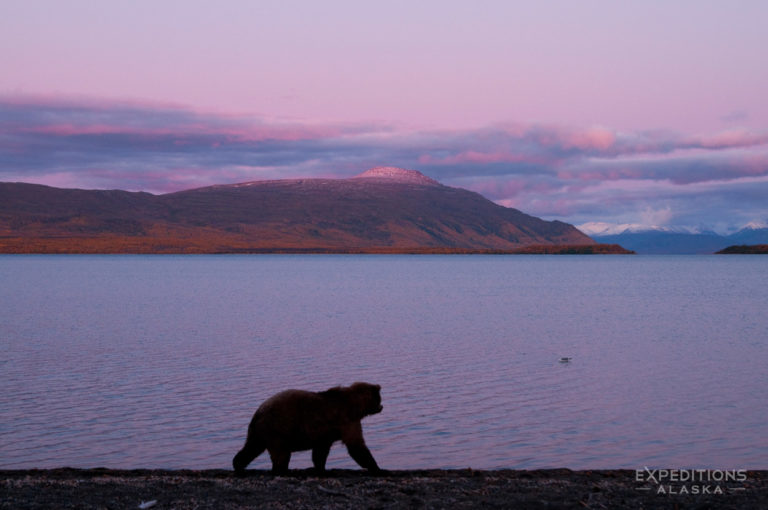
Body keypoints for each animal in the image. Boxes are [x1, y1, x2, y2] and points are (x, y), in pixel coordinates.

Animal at [232, 382, 383, 474]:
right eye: (379, 398)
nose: (381, 406)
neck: (356, 406)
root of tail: (258, 412)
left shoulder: (325, 433)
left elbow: (320, 452)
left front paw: (320, 469)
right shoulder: (346, 420)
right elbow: (356, 446)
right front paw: (376, 468)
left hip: (259, 432)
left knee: (252, 447)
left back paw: (238, 465)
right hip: (277, 430)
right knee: (281, 454)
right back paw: (282, 470)